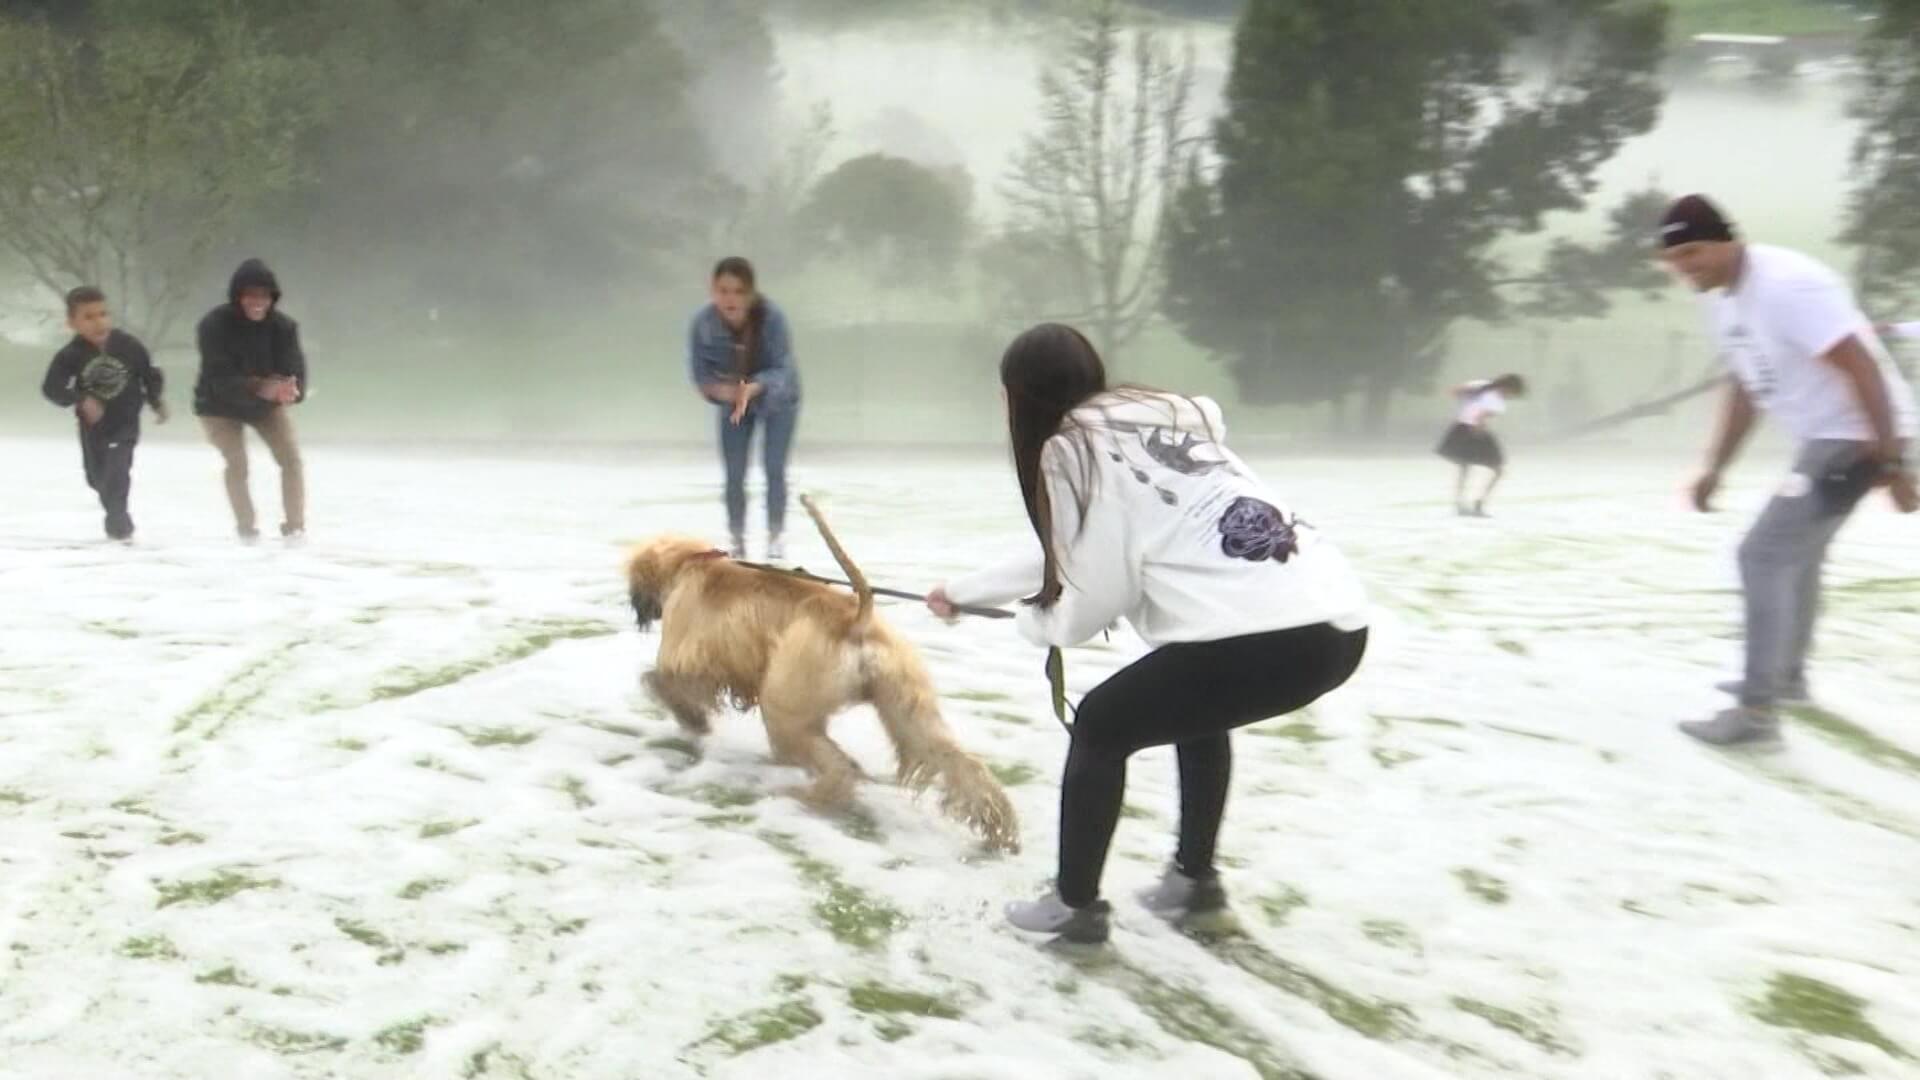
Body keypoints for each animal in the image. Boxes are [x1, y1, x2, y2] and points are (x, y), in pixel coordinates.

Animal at [625, 495, 1021, 849]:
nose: (636, 610)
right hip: (906, 707)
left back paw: (809, 797)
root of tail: (857, 620)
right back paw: (1000, 829)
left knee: (836, 765)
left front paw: (692, 719)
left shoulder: (686, 654)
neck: (690, 562)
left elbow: (662, 680)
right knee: (957, 761)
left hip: (786, 706)